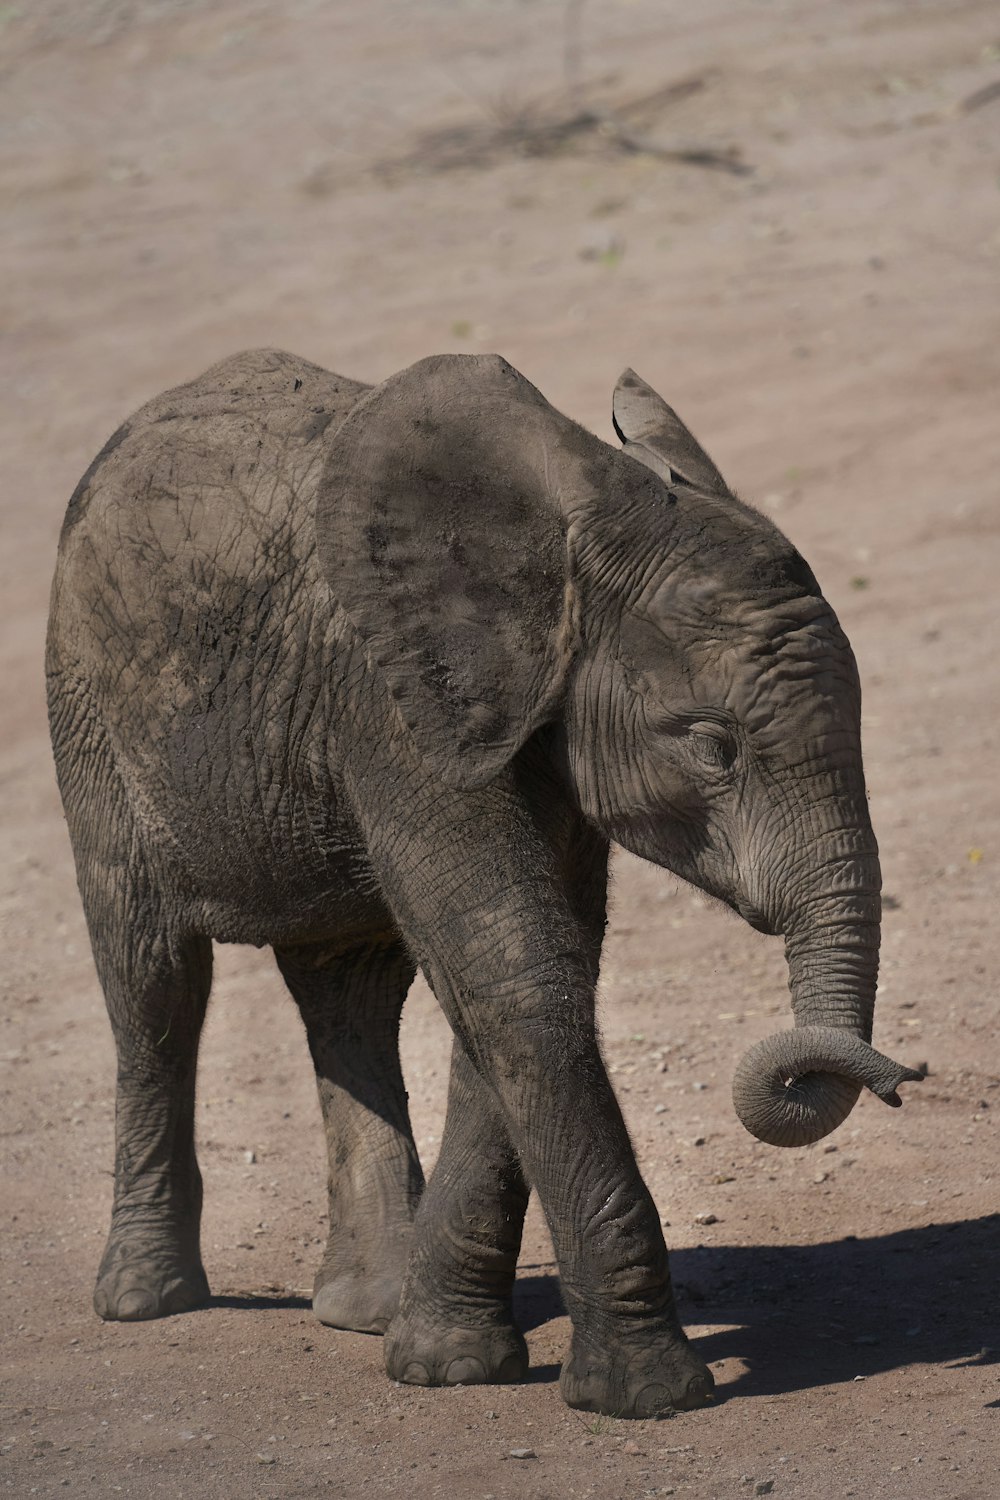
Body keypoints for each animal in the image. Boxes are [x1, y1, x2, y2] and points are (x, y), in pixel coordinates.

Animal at [48, 348, 923, 1416]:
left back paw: (366, 1310)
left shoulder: (530, 721)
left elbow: (523, 973)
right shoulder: (390, 705)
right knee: (153, 981)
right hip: (86, 707)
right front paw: (648, 1397)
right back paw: (144, 1300)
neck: (571, 540)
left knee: (347, 993)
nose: (903, 1080)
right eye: (714, 747)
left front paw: (444, 1364)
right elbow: (515, 967)